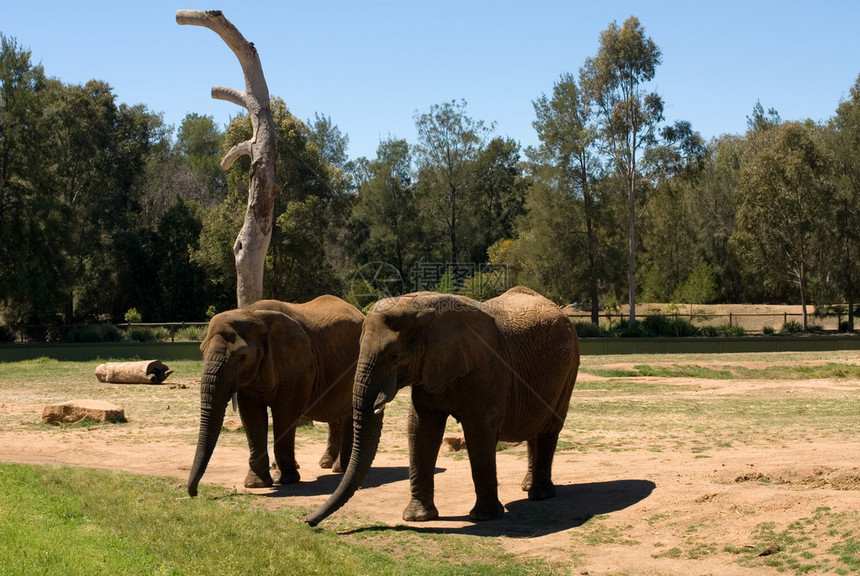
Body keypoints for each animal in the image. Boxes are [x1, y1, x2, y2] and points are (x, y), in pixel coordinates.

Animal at [186, 294, 364, 498]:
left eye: (242, 358)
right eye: (202, 351)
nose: (195, 493)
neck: (253, 314)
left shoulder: (298, 369)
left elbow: (284, 414)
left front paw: (286, 480)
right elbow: (252, 418)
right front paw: (256, 484)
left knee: (349, 414)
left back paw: (340, 469)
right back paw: (327, 464)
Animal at [306, 286, 580, 524]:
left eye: (394, 357)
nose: (308, 521)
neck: (426, 310)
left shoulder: (486, 371)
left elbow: (478, 431)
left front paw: (484, 517)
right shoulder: (429, 368)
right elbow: (421, 428)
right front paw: (417, 517)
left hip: (570, 367)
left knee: (548, 427)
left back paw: (539, 494)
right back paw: (527, 487)